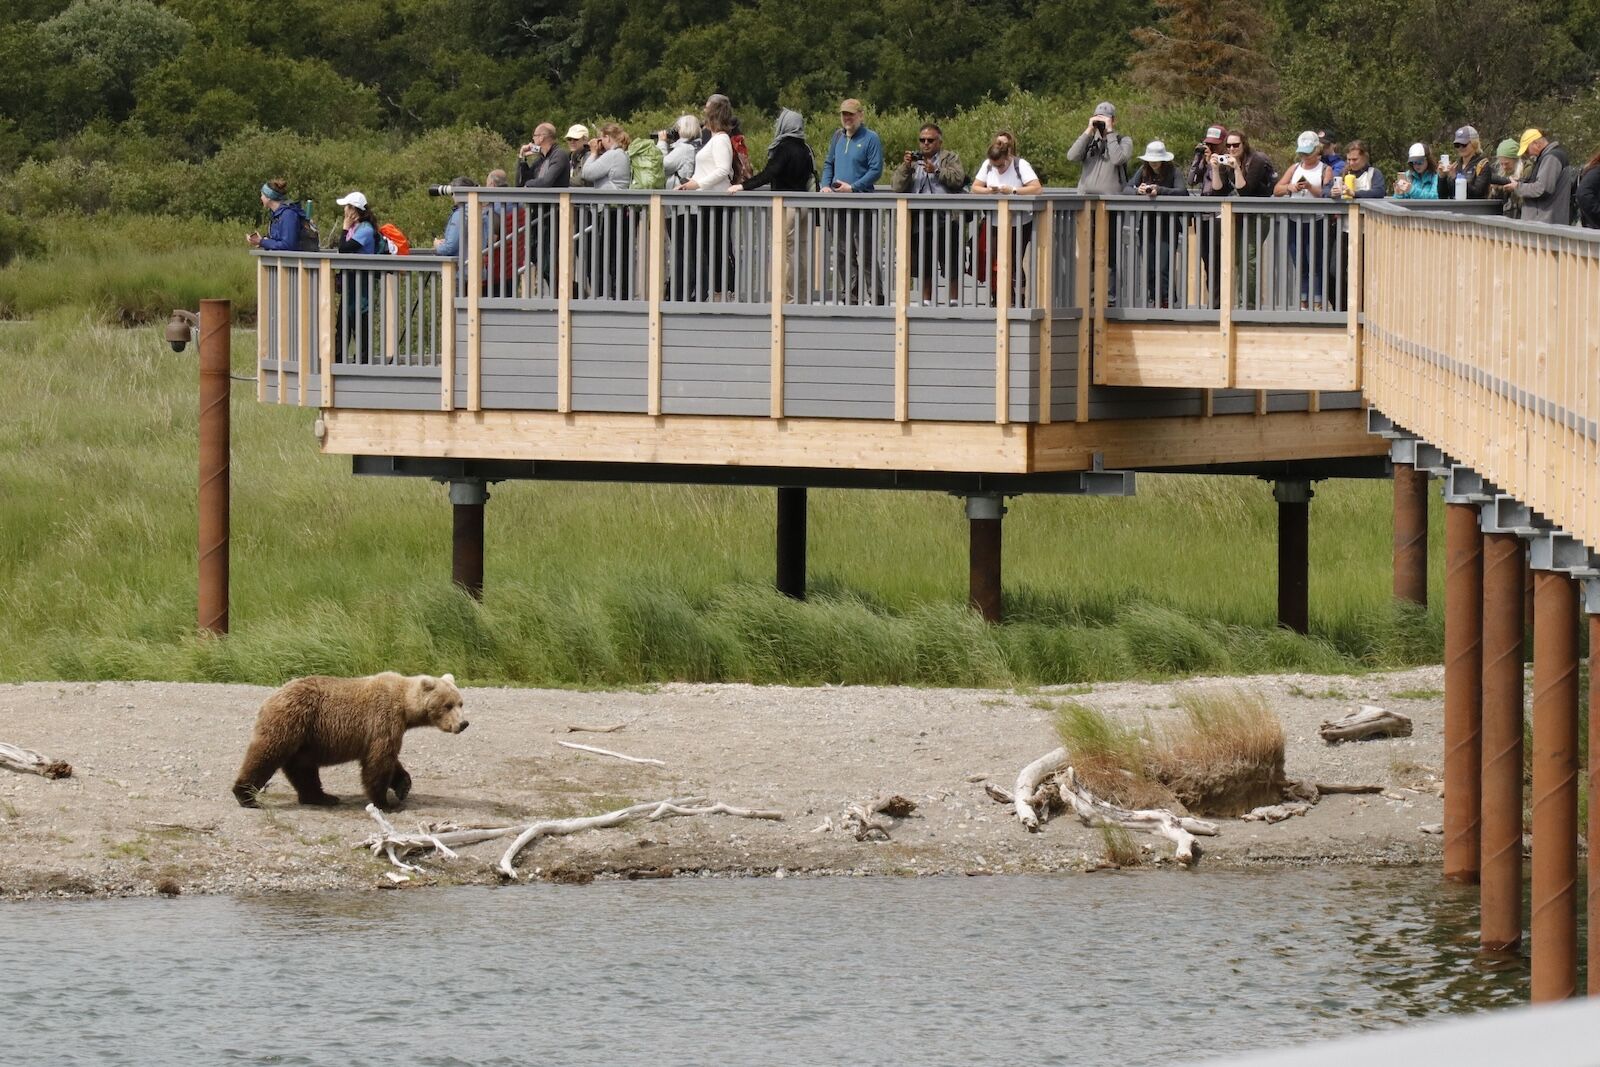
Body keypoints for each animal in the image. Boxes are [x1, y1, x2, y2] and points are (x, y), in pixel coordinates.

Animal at [232, 672, 468, 811]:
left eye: (460, 703)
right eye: (447, 705)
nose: (463, 723)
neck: (405, 707)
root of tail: (271, 697)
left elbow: (390, 761)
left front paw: (403, 786)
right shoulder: (383, 719)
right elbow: (379, 761)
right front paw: (383, 802)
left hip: (305, 737)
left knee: (302, 768)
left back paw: (321, 797)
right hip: (291, 721)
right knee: (266, 754)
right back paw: (246, 796)